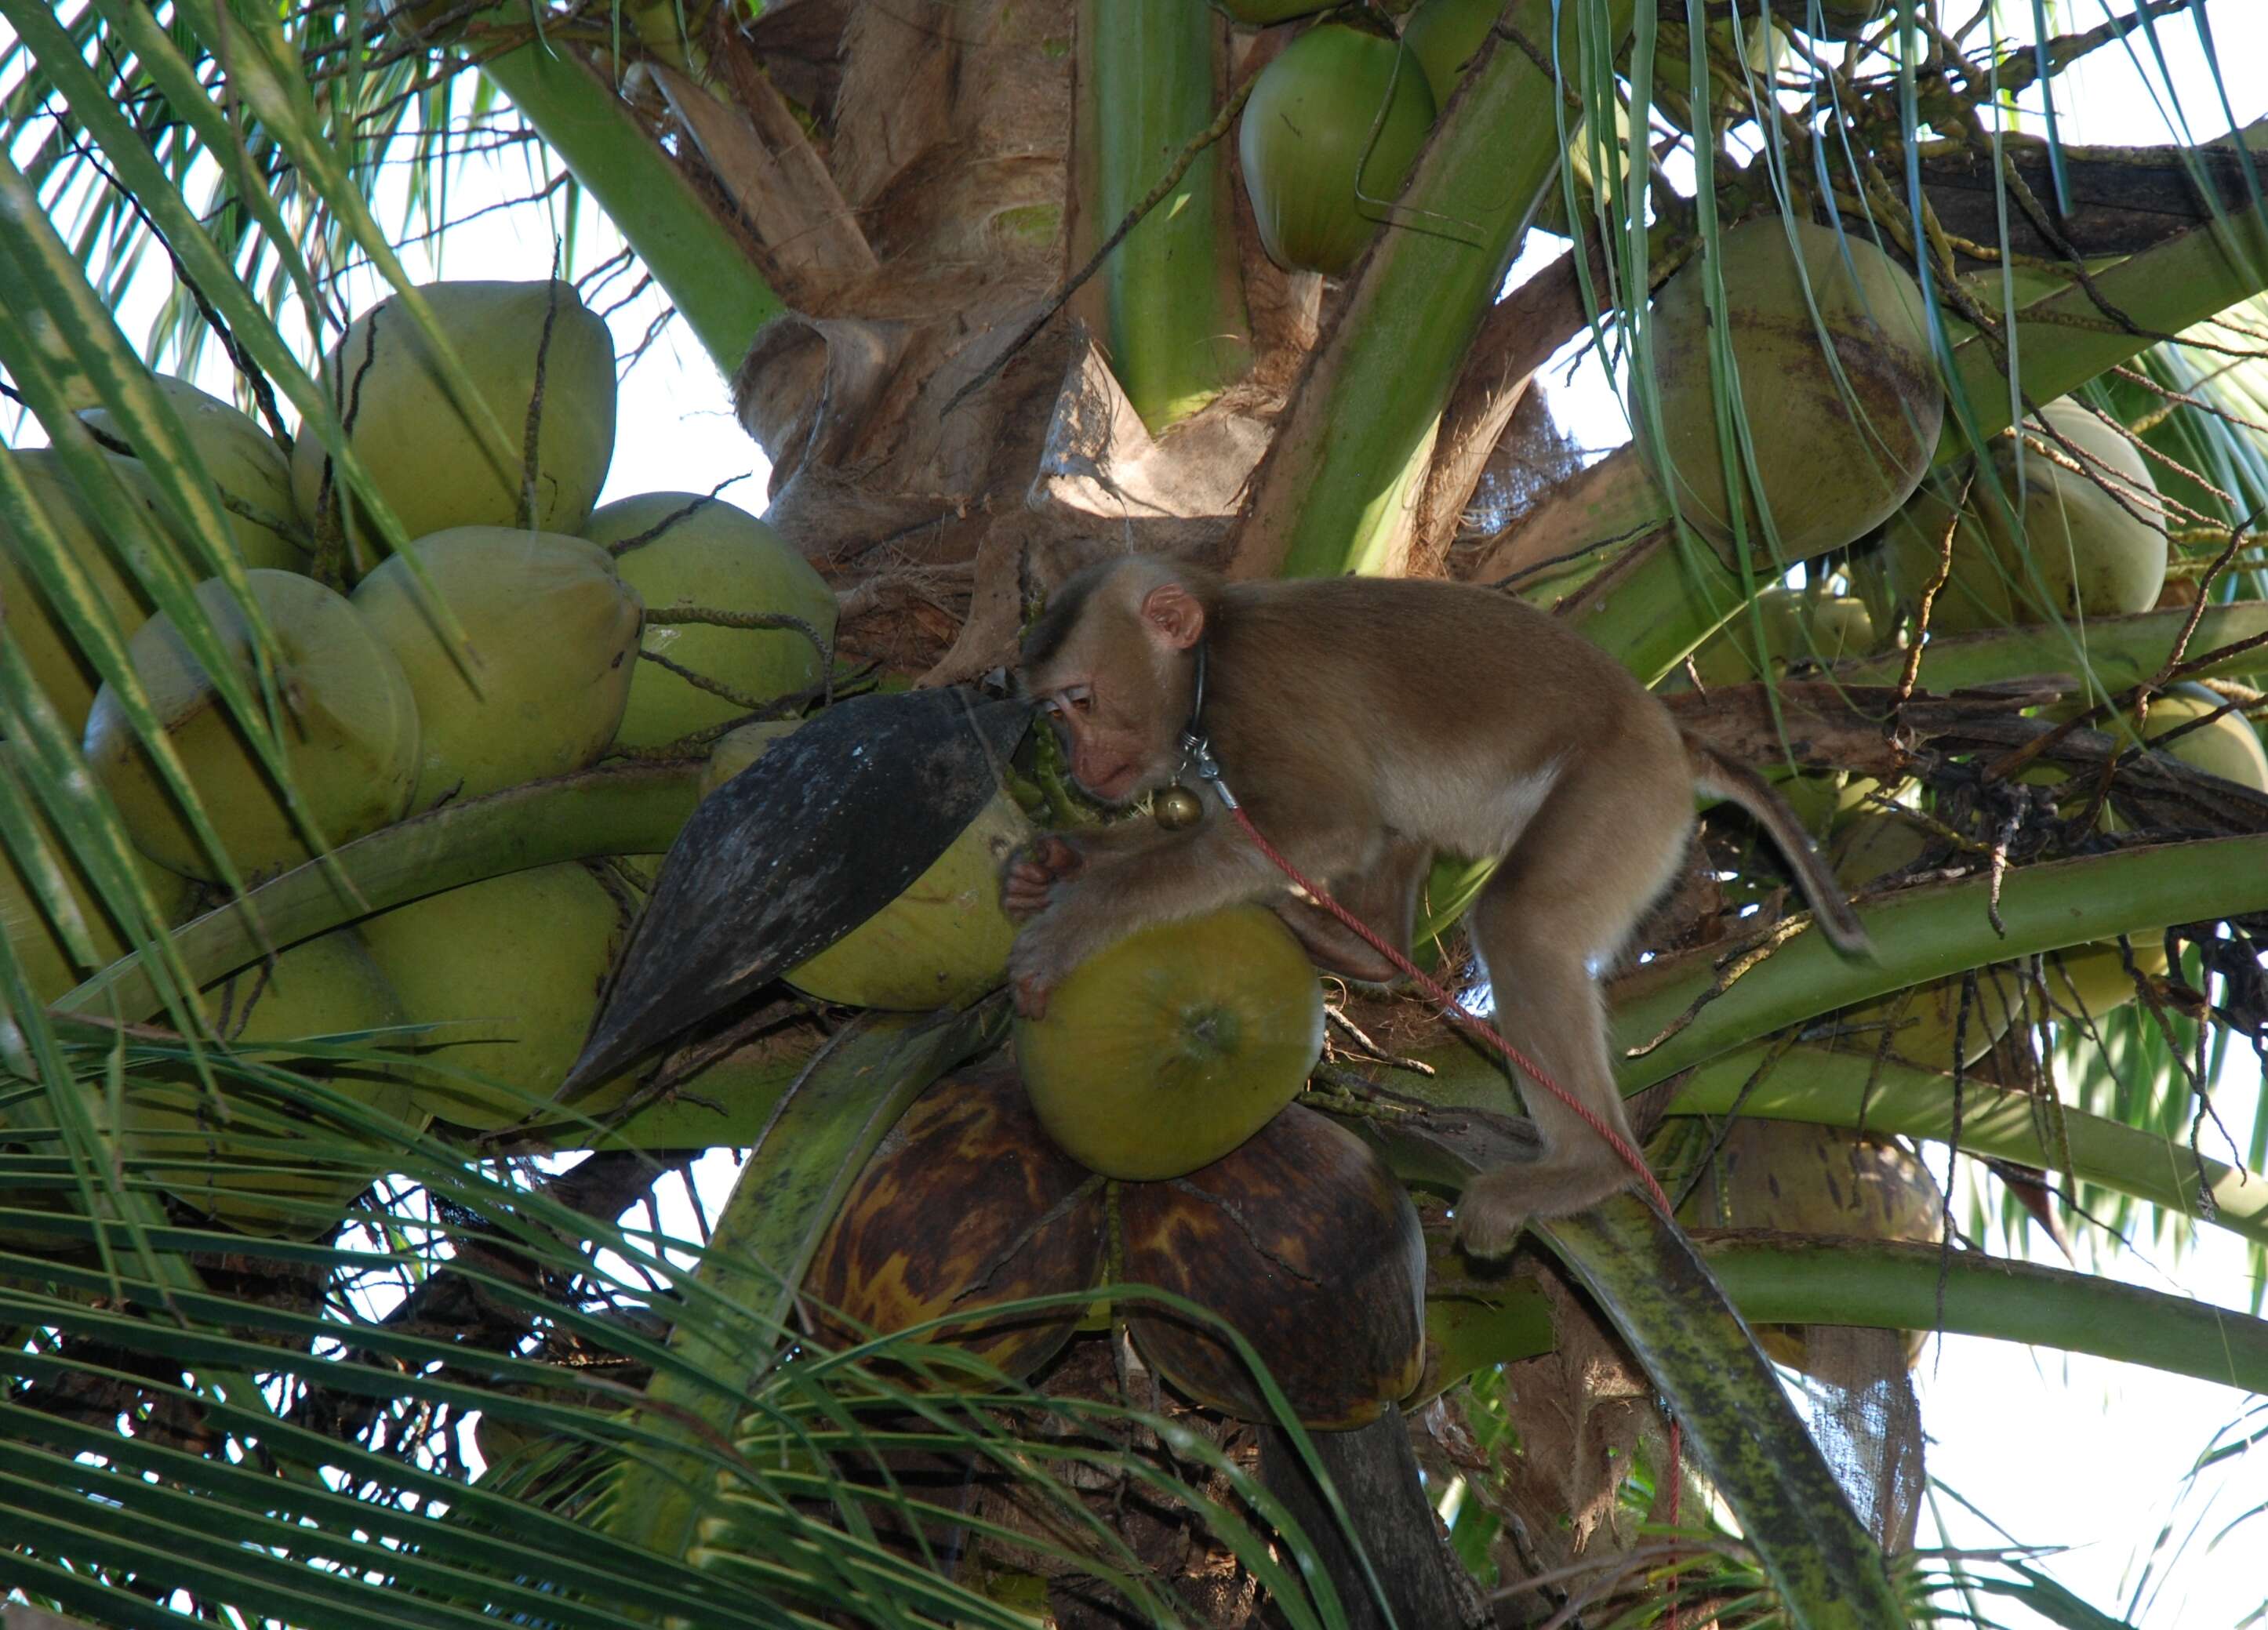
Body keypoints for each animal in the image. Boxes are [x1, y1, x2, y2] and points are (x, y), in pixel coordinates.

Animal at [1011, 555, 1877, 1260]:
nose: (1076, 762)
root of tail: (1673, 733)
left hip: (1622, 791)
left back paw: (1589, 1167)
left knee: (1515, 918)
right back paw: (1363, 948)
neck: (1208, 654)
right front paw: (1061, 858)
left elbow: (1325, 827)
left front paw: (1075, 918)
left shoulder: (1256, 693)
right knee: (1404, 822)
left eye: (1081, 701)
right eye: (1054, 713)